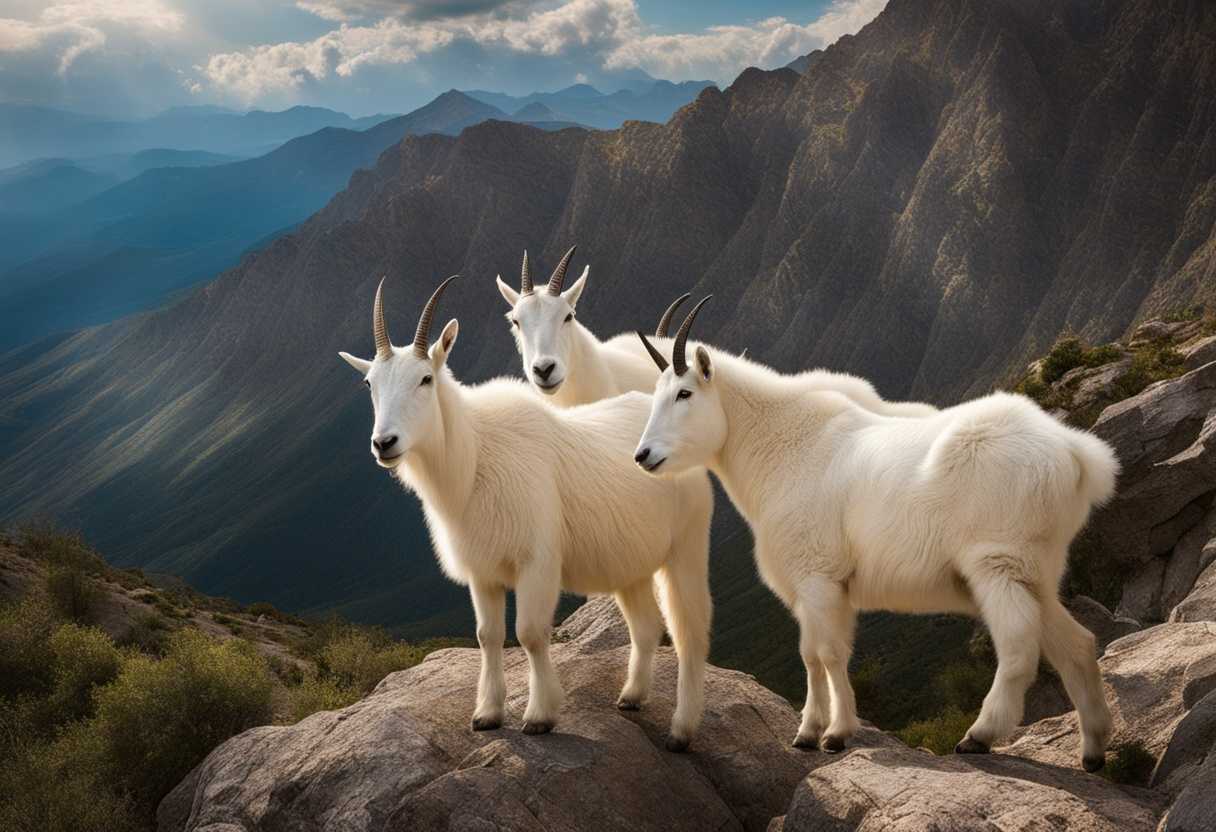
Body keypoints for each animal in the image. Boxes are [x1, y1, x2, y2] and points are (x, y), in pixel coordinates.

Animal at [339, 277, 714, 750]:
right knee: (645, 625)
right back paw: (631, 696)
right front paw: (487, 714)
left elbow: (531, 634)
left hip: (686, 547)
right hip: (629, 562)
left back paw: (682, 729)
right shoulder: (483, 571)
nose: (384, 443)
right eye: (369, 383)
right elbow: (488, 636)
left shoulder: (537, 562)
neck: (476, 457)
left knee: (689, 631)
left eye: (425, 378)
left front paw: (540, 716)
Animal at [632, 297, 1117, 771]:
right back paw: (1093, 751)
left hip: (996, 562)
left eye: (684, 392)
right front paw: (807, 733)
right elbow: (814, 654)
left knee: (1018, 647)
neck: (781, 446)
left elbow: (828, 653)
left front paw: (835, 734)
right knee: (1076, 644)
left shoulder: (819, 577)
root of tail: (1076, 456)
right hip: (1035, 570)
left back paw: (978, 735)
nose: (643, 455)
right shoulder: (815, 590)